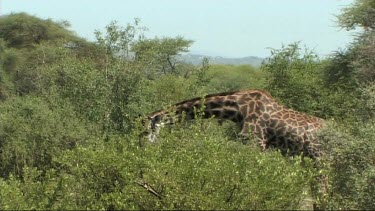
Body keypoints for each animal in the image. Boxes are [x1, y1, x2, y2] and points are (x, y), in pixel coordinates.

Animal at [142, 88, 324, 158]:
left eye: (145, 132)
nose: (143, 149)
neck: (237, 109)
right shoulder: (245, 139)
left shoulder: (257, 141)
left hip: (320, 158)